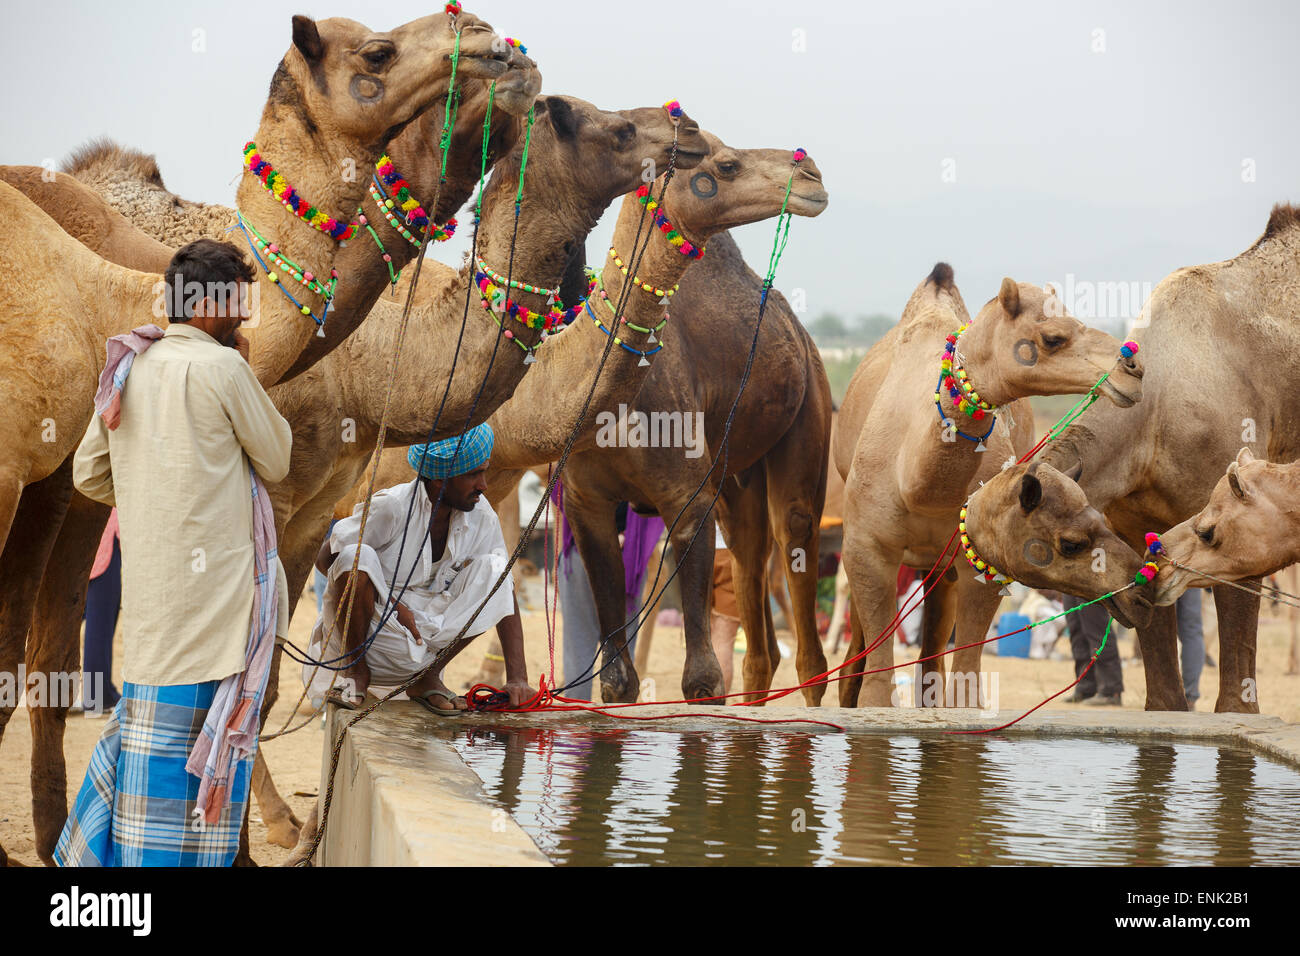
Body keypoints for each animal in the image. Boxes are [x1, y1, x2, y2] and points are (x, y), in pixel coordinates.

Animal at [833, 266, 1147, 708]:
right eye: (1053, 337)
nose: (1133, 369)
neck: (916, 483)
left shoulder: (981, 555)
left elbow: (965, 689)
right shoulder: (865, 547)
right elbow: (874, 689)